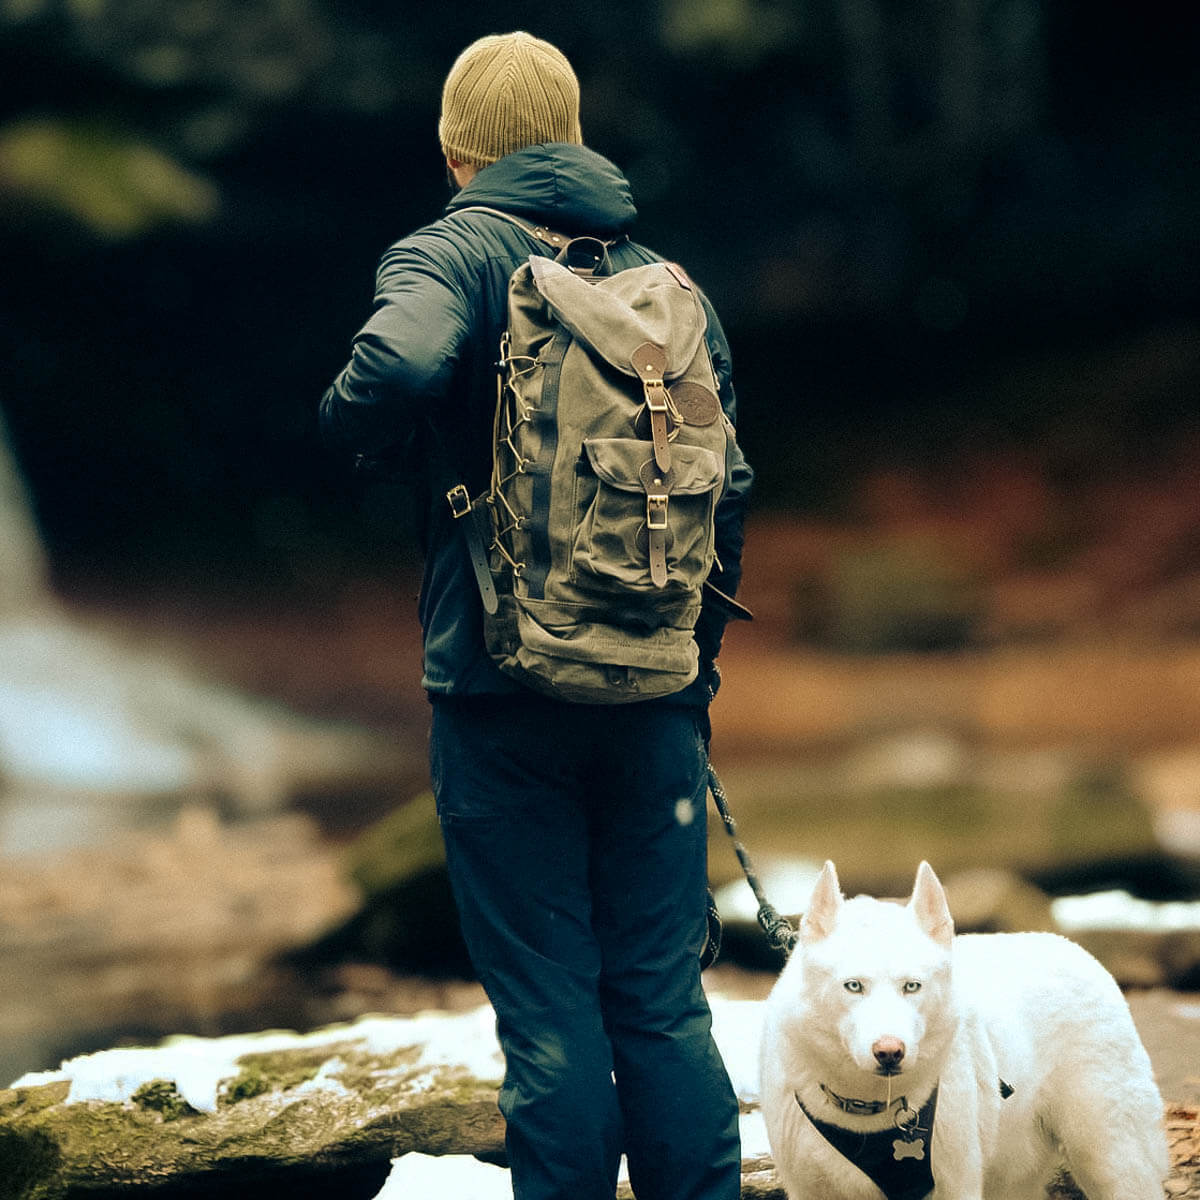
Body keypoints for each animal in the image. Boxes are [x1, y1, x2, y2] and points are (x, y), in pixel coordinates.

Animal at [763, 864, 1166, 1200]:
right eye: (853, 986)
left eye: (912, 986)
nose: (890, 1051)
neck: (868, 1110)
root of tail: (1072, 947)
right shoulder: (809, 1188)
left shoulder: (954, 1182)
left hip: (1113, 1158)